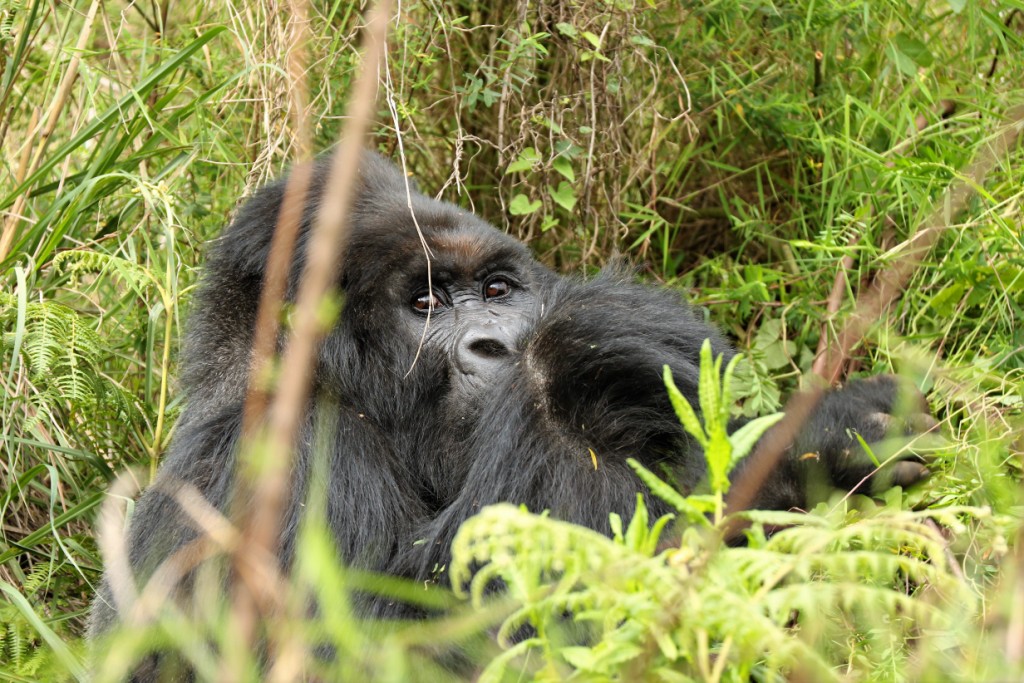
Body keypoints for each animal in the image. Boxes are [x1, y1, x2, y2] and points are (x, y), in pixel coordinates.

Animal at [92, 152, 933, 651]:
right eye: (426, 303)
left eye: (496, 290)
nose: (496, 346)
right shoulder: (289, 455)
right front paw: (567, 359)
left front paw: (802, 453)